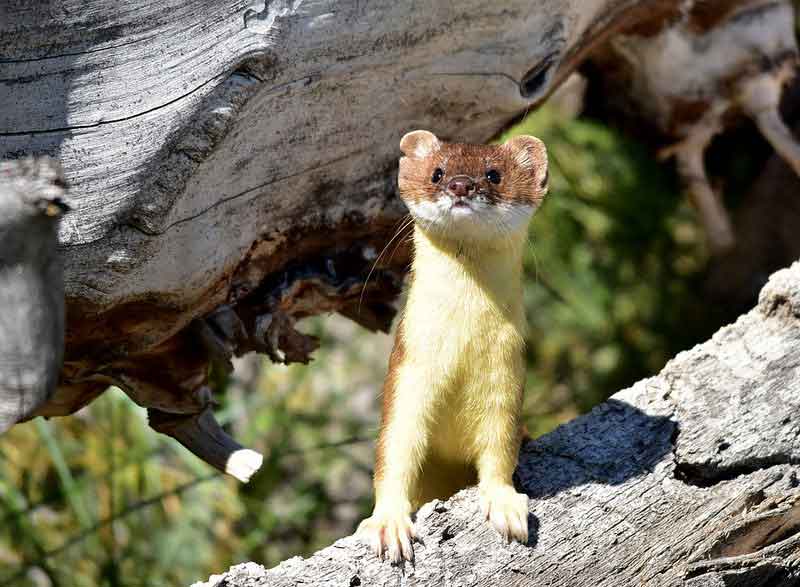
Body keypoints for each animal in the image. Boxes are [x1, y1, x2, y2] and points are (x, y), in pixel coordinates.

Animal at [360, 131, 548, 564]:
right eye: (437, 171)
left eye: (494, 174)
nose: (461, 185)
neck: (462, 348)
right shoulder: (407, 370)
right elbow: (394, 448)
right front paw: (389, 524)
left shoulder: (507, 373)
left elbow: (500, 445)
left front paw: (505, 504)